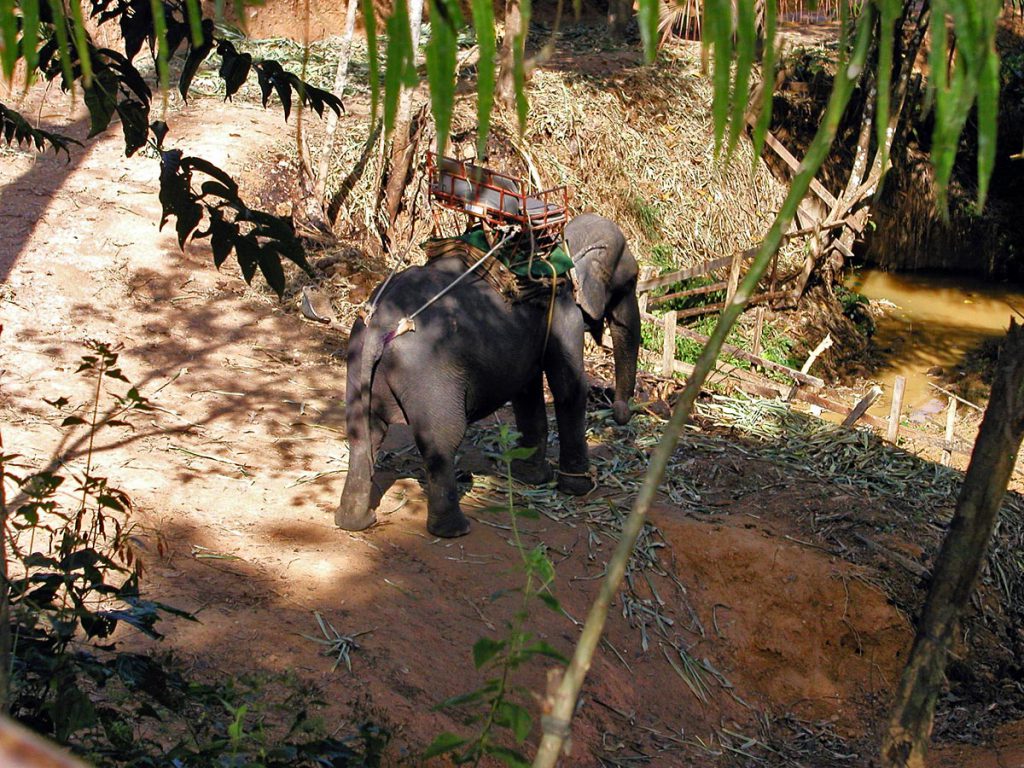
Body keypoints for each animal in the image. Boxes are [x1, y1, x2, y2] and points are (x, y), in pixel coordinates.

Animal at [335, 249, 593, 536]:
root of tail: (380, 325)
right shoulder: (562, 311)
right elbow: (568, 388)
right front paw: (577, 488)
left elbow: (527, 391)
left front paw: (532, 477)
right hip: (432, 372)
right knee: (442, 439)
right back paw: (455, 530)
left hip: (358, 361)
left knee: (364, 434)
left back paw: (354, 522)